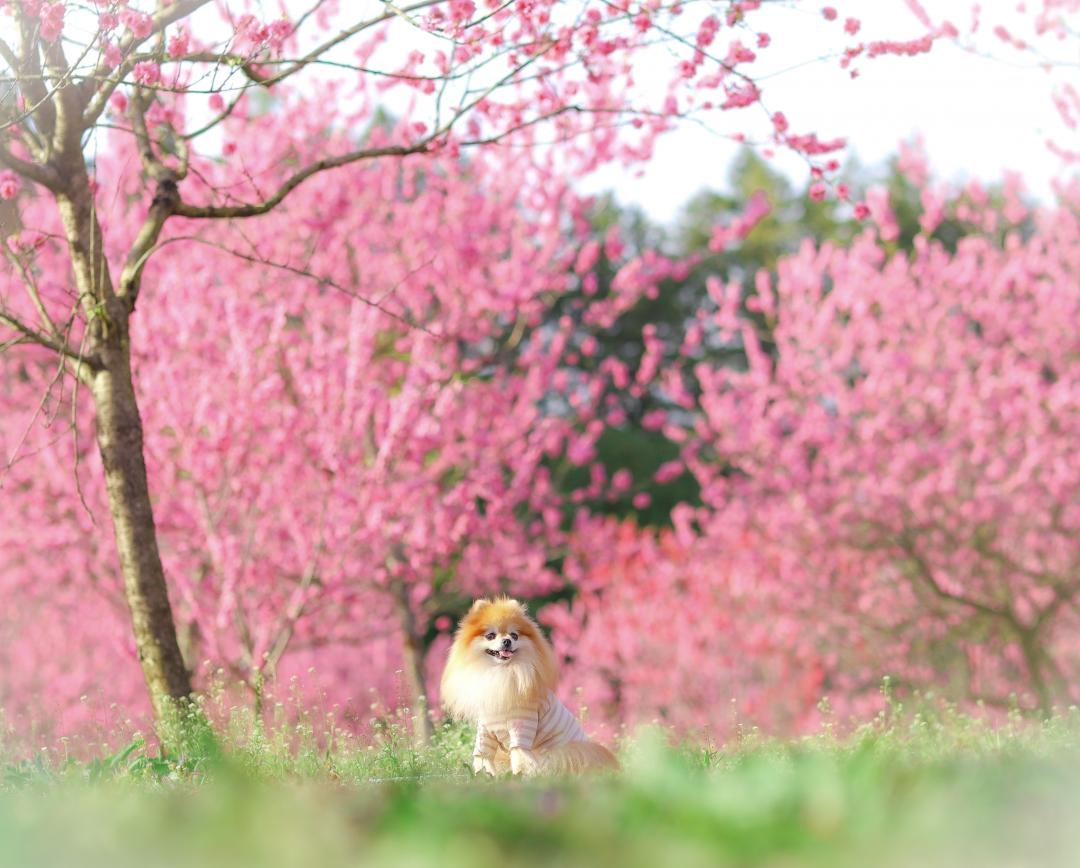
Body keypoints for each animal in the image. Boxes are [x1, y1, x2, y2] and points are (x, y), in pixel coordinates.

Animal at [438, 600, 617, 777]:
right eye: (490, 635)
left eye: (514, 635)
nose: (507, 641)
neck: (499, 673)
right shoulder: (485, 732)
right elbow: (483, 757)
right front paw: (483, 776)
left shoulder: (521, 728)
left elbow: (520, 758)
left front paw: (519, 778)